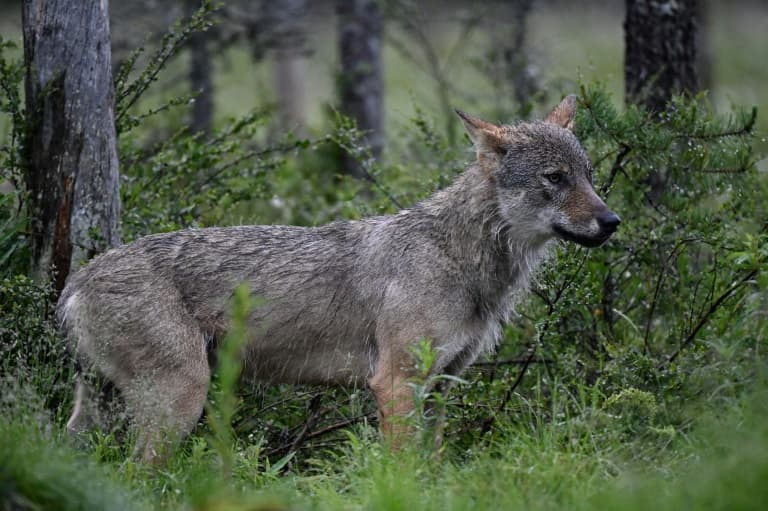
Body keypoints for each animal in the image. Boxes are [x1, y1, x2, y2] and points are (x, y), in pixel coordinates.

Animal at [58, 95, 619, 462]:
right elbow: (404, 470)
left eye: (589, 176)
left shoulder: (443, 385)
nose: (612, 221)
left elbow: (435, 468)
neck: (463, 260)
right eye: (555, 178)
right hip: (181, 399)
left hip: (107, 411)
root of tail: (77, 280)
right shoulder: (396, 382)